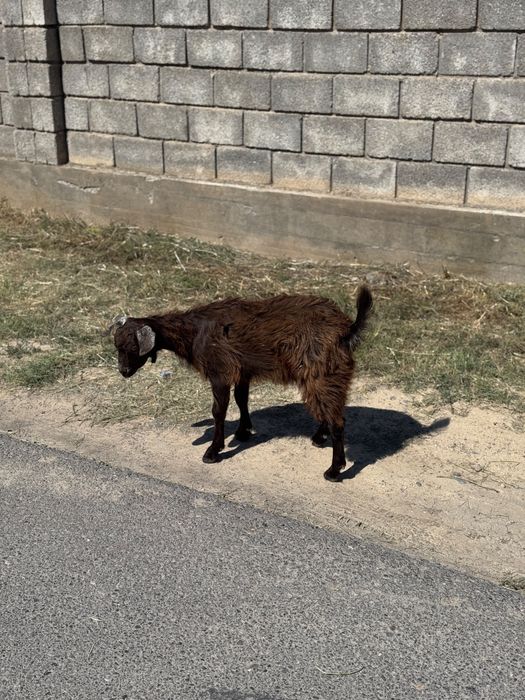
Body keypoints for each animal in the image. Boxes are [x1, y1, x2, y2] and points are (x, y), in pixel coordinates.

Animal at [109, 287, 373, 482]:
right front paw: (244, 431)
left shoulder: (220, 372)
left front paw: (212, 451)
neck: (194, 331)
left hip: (324, 373)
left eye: (130, 347)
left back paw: (334, 470)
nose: (124, 372)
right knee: (326, 408)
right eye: (117, 346)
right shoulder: (243, 371)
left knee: (337, 420)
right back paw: (319, 437)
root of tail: (347, 329)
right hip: (323, 377)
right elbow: (241, 399)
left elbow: (219, 411)